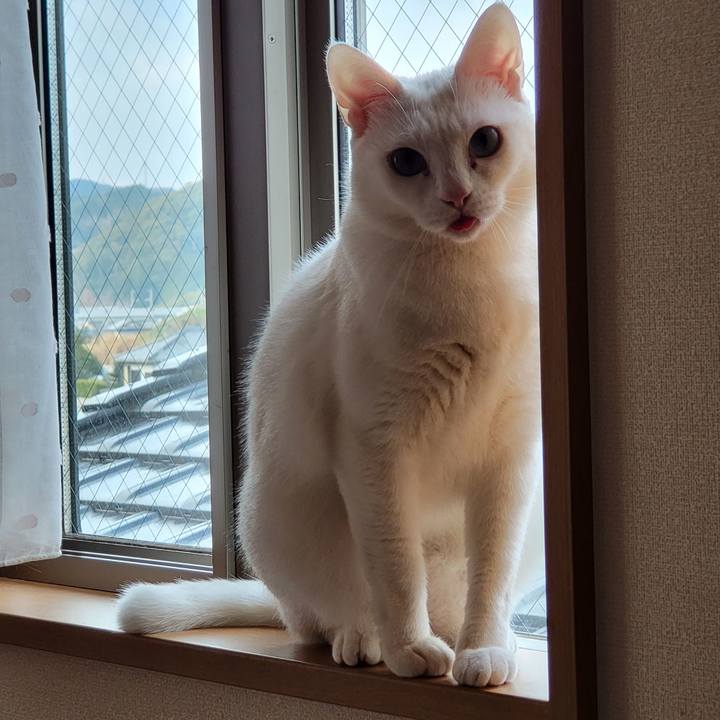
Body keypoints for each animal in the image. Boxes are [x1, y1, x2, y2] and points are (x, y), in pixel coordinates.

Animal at [117, 2, 541, 688]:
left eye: (484, 142)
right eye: (406, 163)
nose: (455, 196)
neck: (469, 285)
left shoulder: (509, 461)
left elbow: (492, 576)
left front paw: (484, 652)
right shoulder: (375, 450)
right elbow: (397, 571)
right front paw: (409, 652)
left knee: (450, 600)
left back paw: (462, 640)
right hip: (286, 525)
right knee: (328, 613)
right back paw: (367, 642)